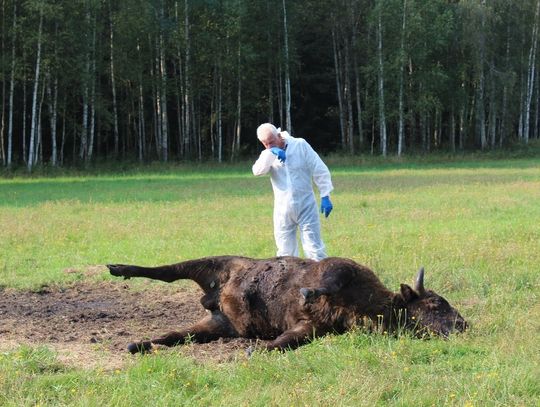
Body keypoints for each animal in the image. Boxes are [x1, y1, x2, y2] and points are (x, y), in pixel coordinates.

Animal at [107, 258, 466, 354]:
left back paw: (137, 344)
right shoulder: (340, 269)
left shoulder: (312, 328)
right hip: (215, 263)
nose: (463, 324)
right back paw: (118, 268)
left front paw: (256, 350)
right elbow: (326, 282)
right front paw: (307, 291)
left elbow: (284, 342)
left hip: (218, 325)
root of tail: (215, 299)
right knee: (164, 272)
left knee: (175, 335)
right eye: (436, 303)